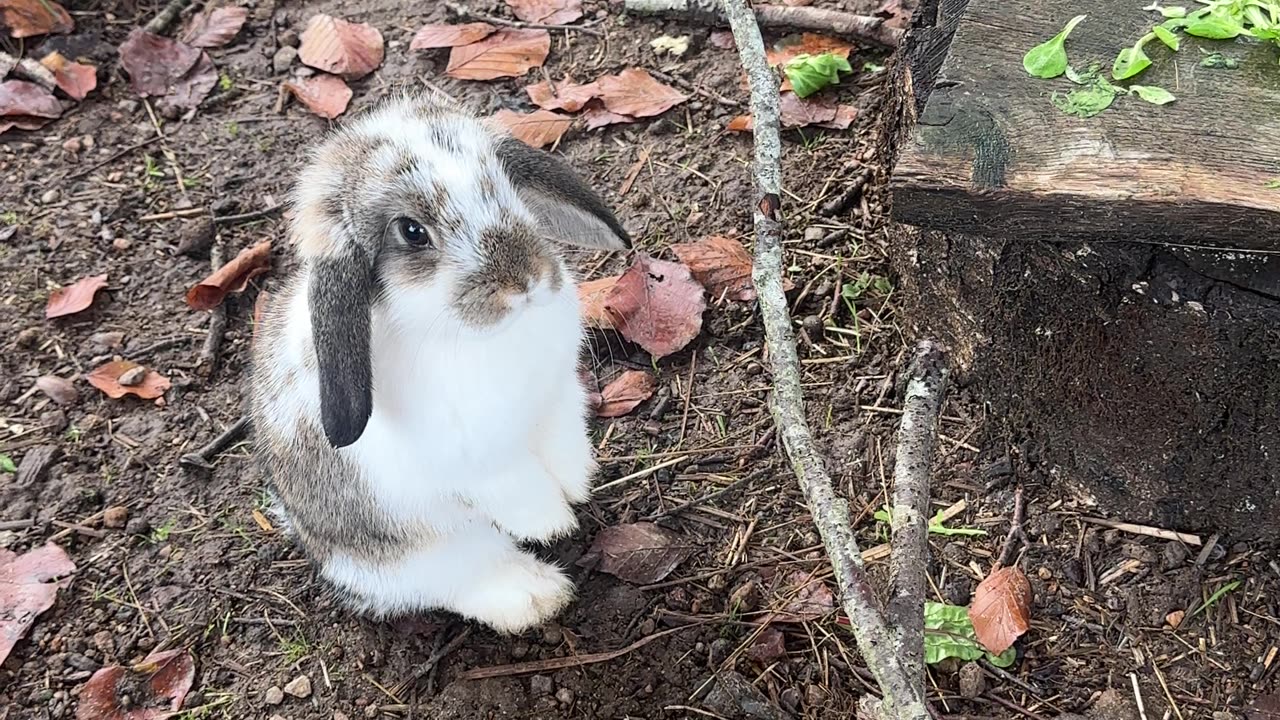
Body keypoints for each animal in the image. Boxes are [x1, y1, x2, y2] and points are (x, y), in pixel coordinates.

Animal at [250, 93, 629, 634]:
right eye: (412, 232)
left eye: (503, 183)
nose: (525, 281)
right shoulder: (481, 463)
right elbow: (522, 492)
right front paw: (555, 521)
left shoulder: (558, 400)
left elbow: (563, 447)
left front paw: (578, 485)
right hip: (427, 552)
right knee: (463, 578)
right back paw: (538, 595)